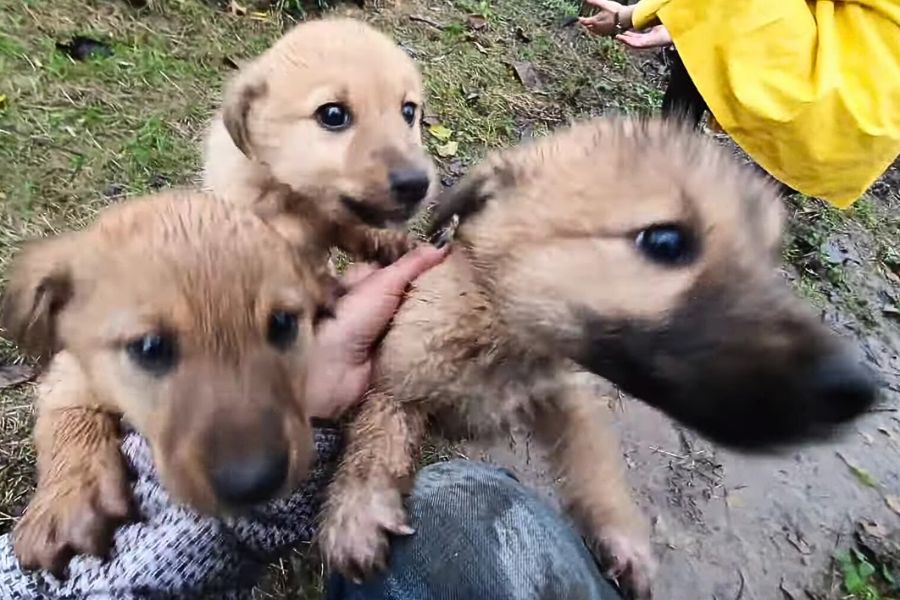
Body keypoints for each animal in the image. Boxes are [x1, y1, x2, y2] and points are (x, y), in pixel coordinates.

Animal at [0, 192, 334, 576]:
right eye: (150, 347)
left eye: (282, 322)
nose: (254, 483)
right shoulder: (71, 370)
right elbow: (66, 412)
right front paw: (70, 496)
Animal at [320, 118, 876, 600]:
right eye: (666, 241)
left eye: (769, 258)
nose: (858, 390)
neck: (509, 343)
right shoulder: (399, 380)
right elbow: (378, 438)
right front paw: (360, 512)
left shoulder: (567, 397)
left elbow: (596, 462)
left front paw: (623, 538)